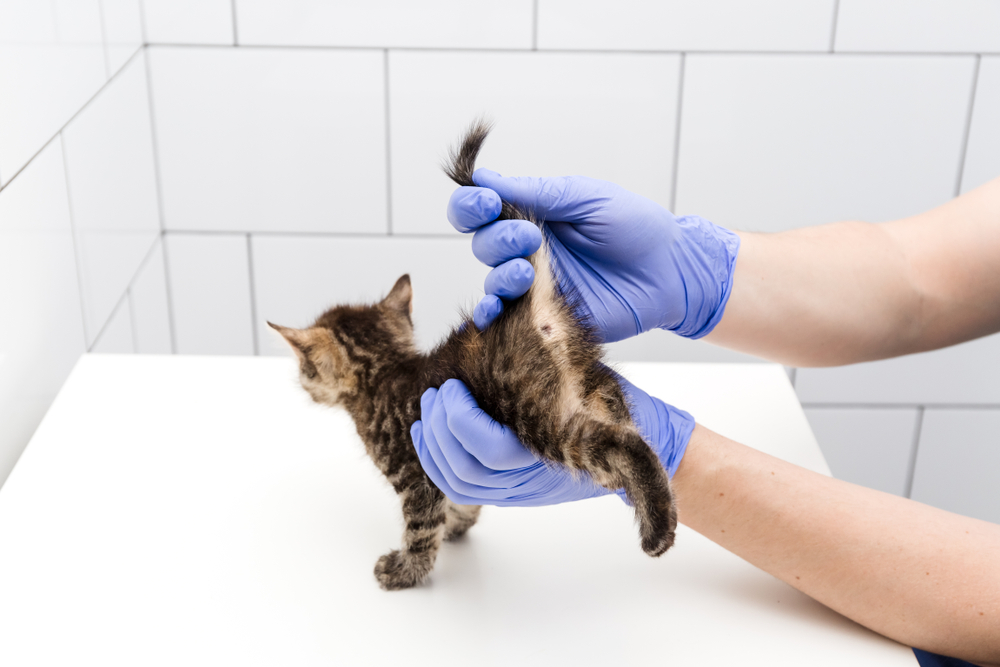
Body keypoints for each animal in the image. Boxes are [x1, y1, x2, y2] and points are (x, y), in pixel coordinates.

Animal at [270, 122, 676, 592]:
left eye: (305, 369)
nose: (302, 383)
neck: (385, 371)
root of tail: (523, 306)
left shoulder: (416, 475)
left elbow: (420, 528)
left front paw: (405, 570)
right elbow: (458, 497)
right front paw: (460, 522)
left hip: (536, 412)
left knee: (622, 444)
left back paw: (658, 531)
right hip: (591, 380)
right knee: (629, 425)